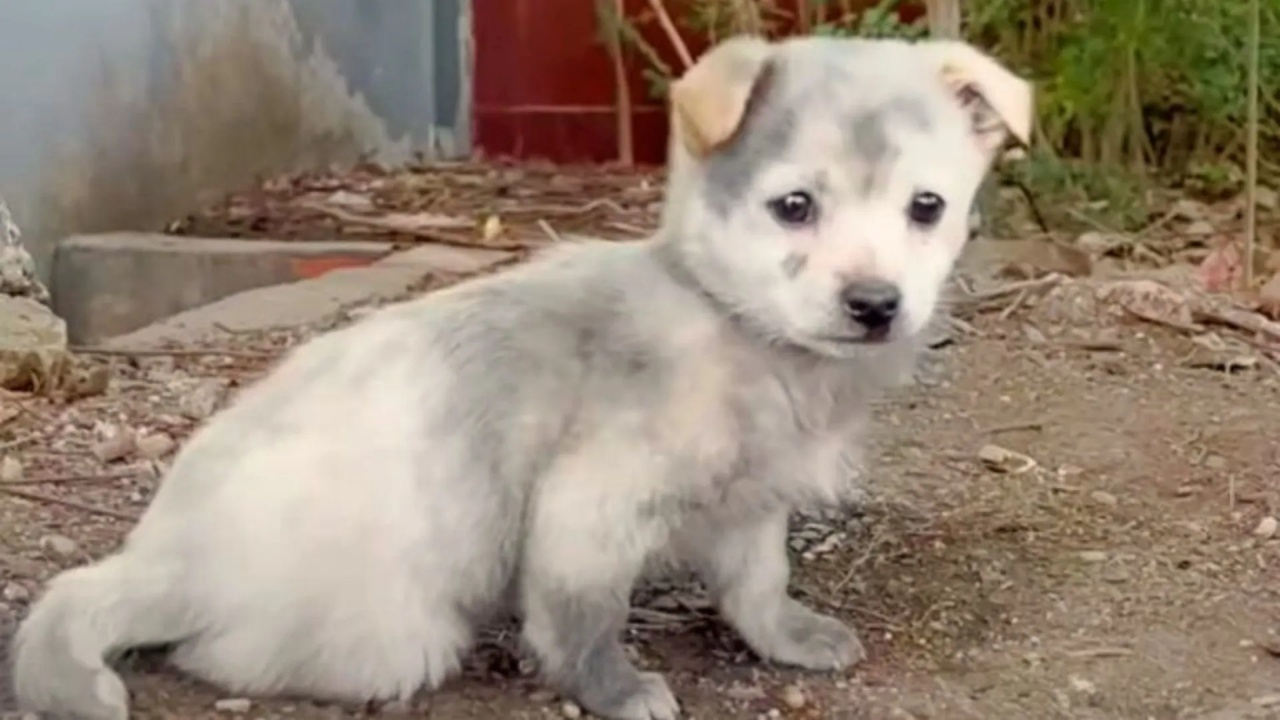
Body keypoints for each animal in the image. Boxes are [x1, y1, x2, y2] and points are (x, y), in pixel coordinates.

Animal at [7, 32, 1029, 717]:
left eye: (927, 206)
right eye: (794, 206)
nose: (875, 304)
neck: (727, 322)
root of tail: (161, 556)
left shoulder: (751, 505)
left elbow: (757, 587)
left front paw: (792, 638)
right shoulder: (588, 508)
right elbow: (582, 621)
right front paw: (618, 690)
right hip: (395, 634)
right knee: (222, 657)